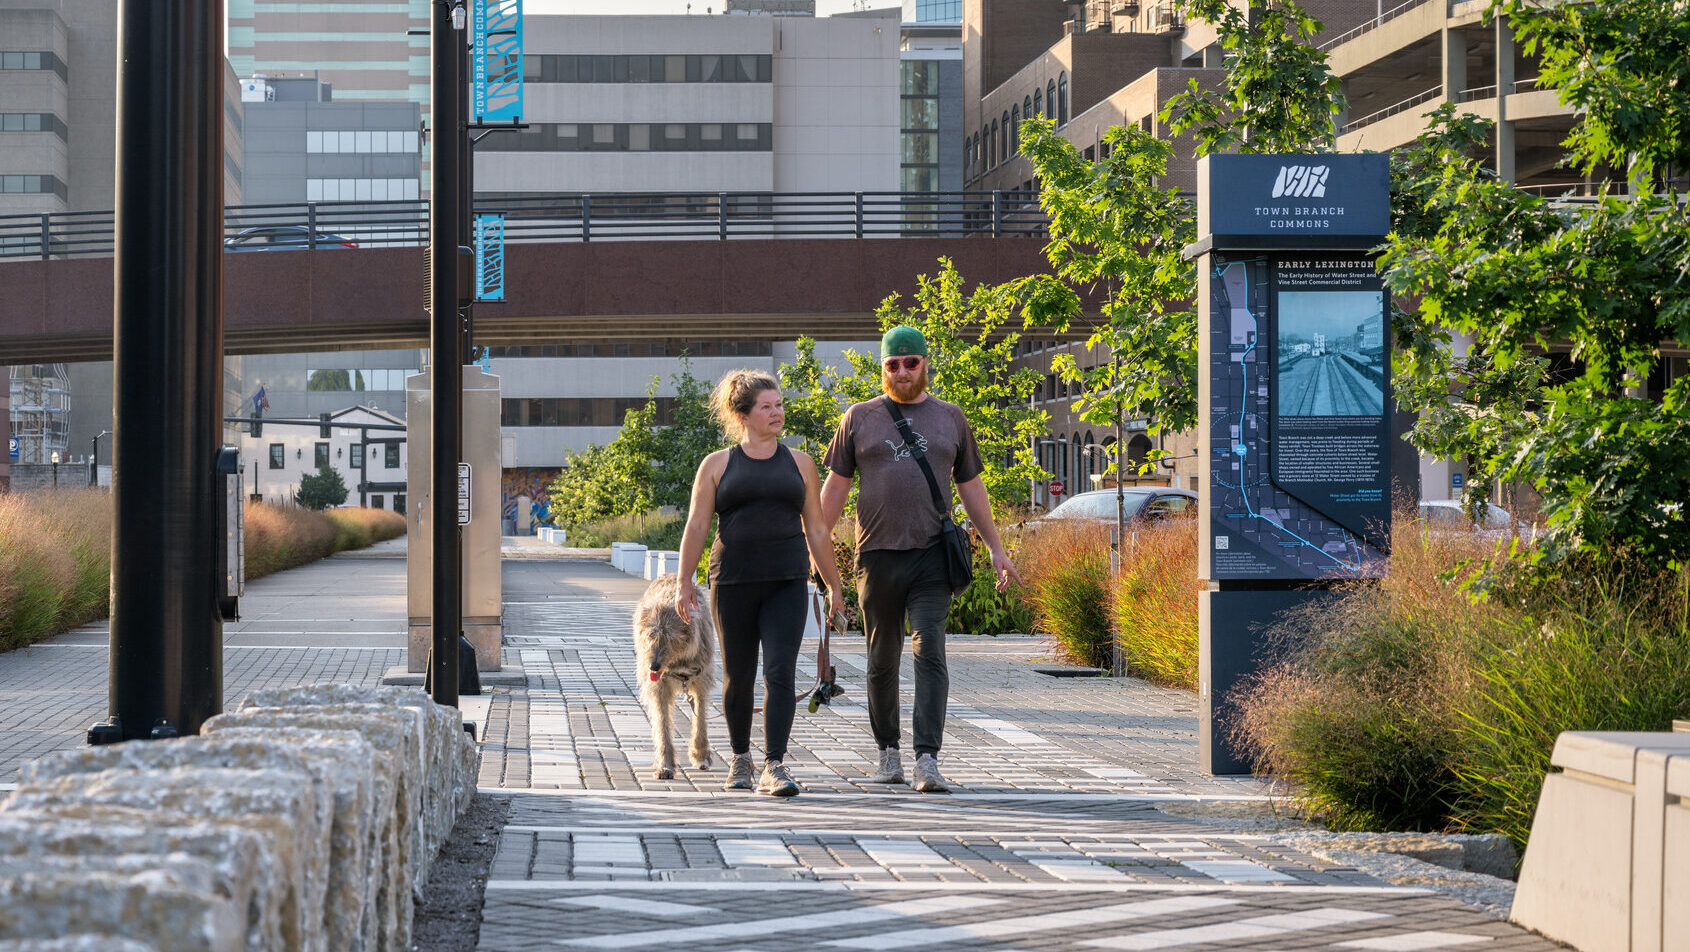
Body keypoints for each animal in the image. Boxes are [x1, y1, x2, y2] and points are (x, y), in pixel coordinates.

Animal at [632, 574, 716, 781]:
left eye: (670, 638)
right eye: (650, 636)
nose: (653, 666)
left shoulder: (701, 680)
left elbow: (700, 718)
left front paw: (700, 754)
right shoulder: (658, 687)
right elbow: (662, 722)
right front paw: (665, 764)